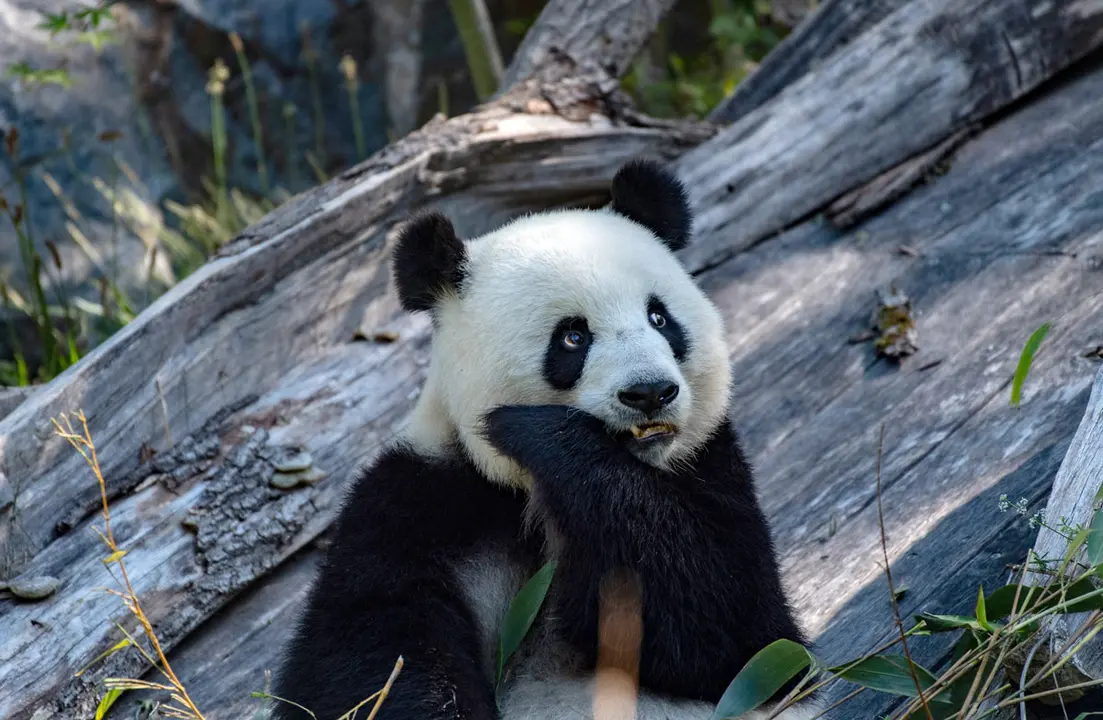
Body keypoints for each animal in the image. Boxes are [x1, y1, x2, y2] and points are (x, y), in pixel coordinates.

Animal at [270, 159, 820, 720]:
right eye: (572, 337)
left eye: (660, 318)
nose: (650, 392)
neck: (524, 491)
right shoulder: (420, 498)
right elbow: (371, 652)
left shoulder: (710, 466)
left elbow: (737, 632)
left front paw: (536, 433)